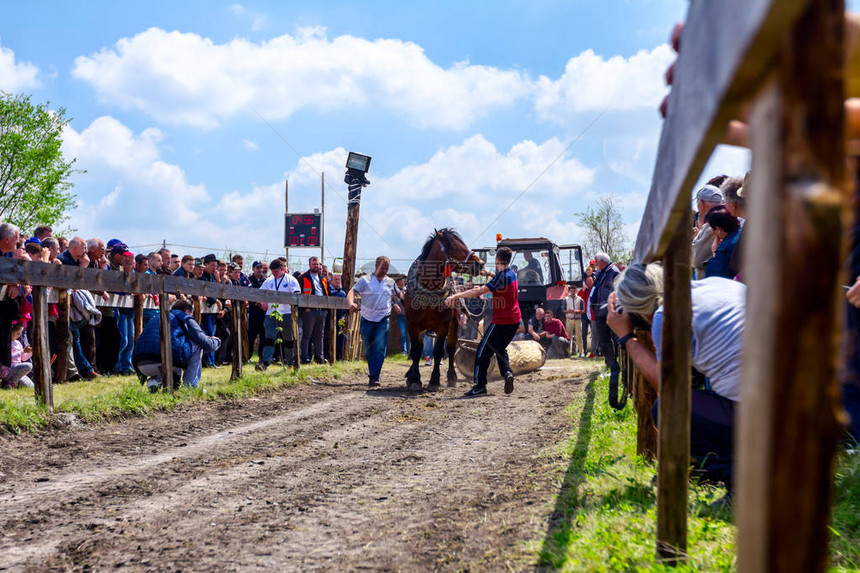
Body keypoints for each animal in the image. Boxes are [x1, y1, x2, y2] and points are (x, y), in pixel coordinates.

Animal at [404, 226, 484, 392]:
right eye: (453, 246)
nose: (480, 263)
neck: (429, 288)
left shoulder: (444, 325)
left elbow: (439, 351)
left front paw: (434, 381)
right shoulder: (412, 325)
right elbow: (416, 351)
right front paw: (415, 379)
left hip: (455, 324)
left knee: (451, 348)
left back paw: (451, 377)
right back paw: (410, 373)